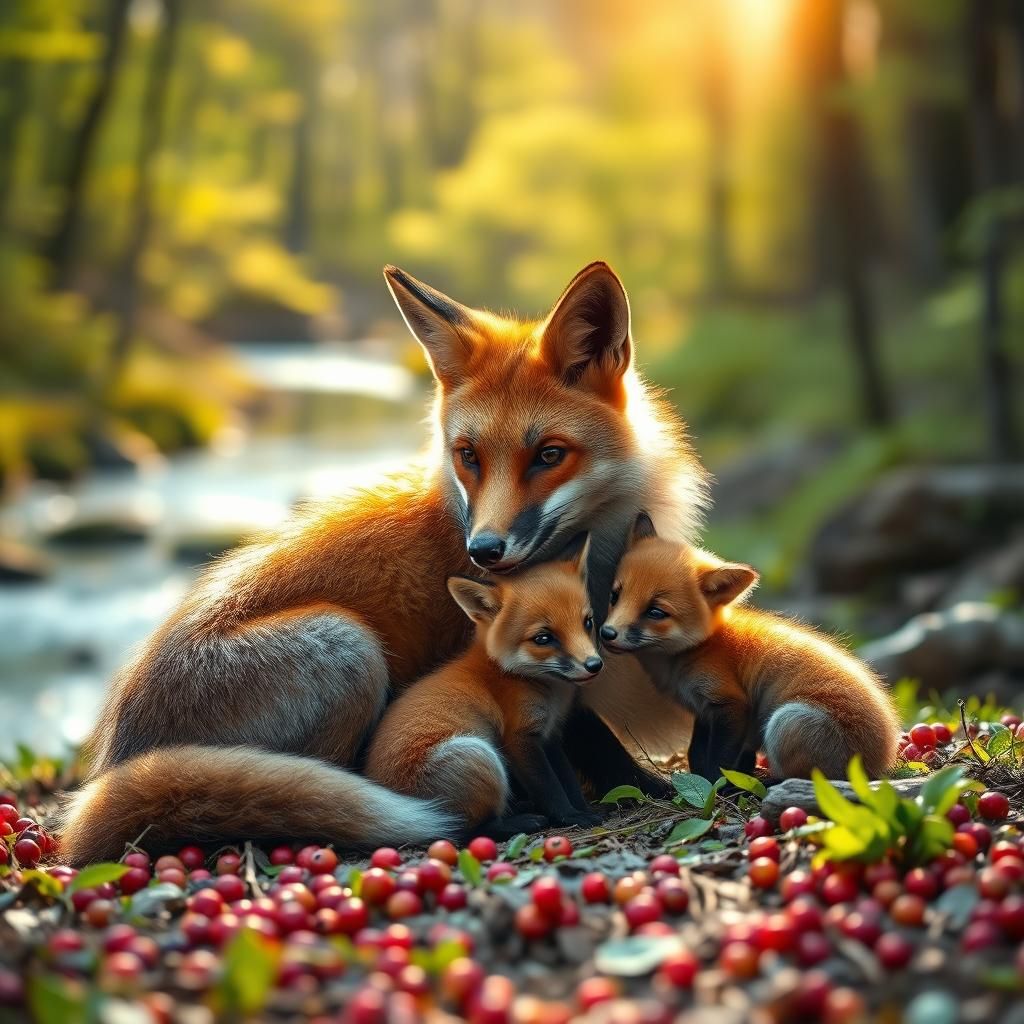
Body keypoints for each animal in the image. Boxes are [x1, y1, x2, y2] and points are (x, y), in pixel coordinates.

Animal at [366, 539, 604, 833]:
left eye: (587, 622)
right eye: (543, 638)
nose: (594, 665)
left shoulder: (549, 735)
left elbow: (568, 780)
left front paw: (583, 809)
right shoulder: (519, 737)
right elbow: (550, 788)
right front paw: (570, 817)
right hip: (480, 756)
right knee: (464, 829)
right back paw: (521, 821)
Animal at [599, 514, 901, 780]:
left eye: (655, 612)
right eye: (615, 596)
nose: (606, 633)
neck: (698, 649)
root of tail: (882, 759)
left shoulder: (731, 704)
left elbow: (718, 761)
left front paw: (716, 787)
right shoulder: (704, 711)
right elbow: (695, 752)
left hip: (786, 721)